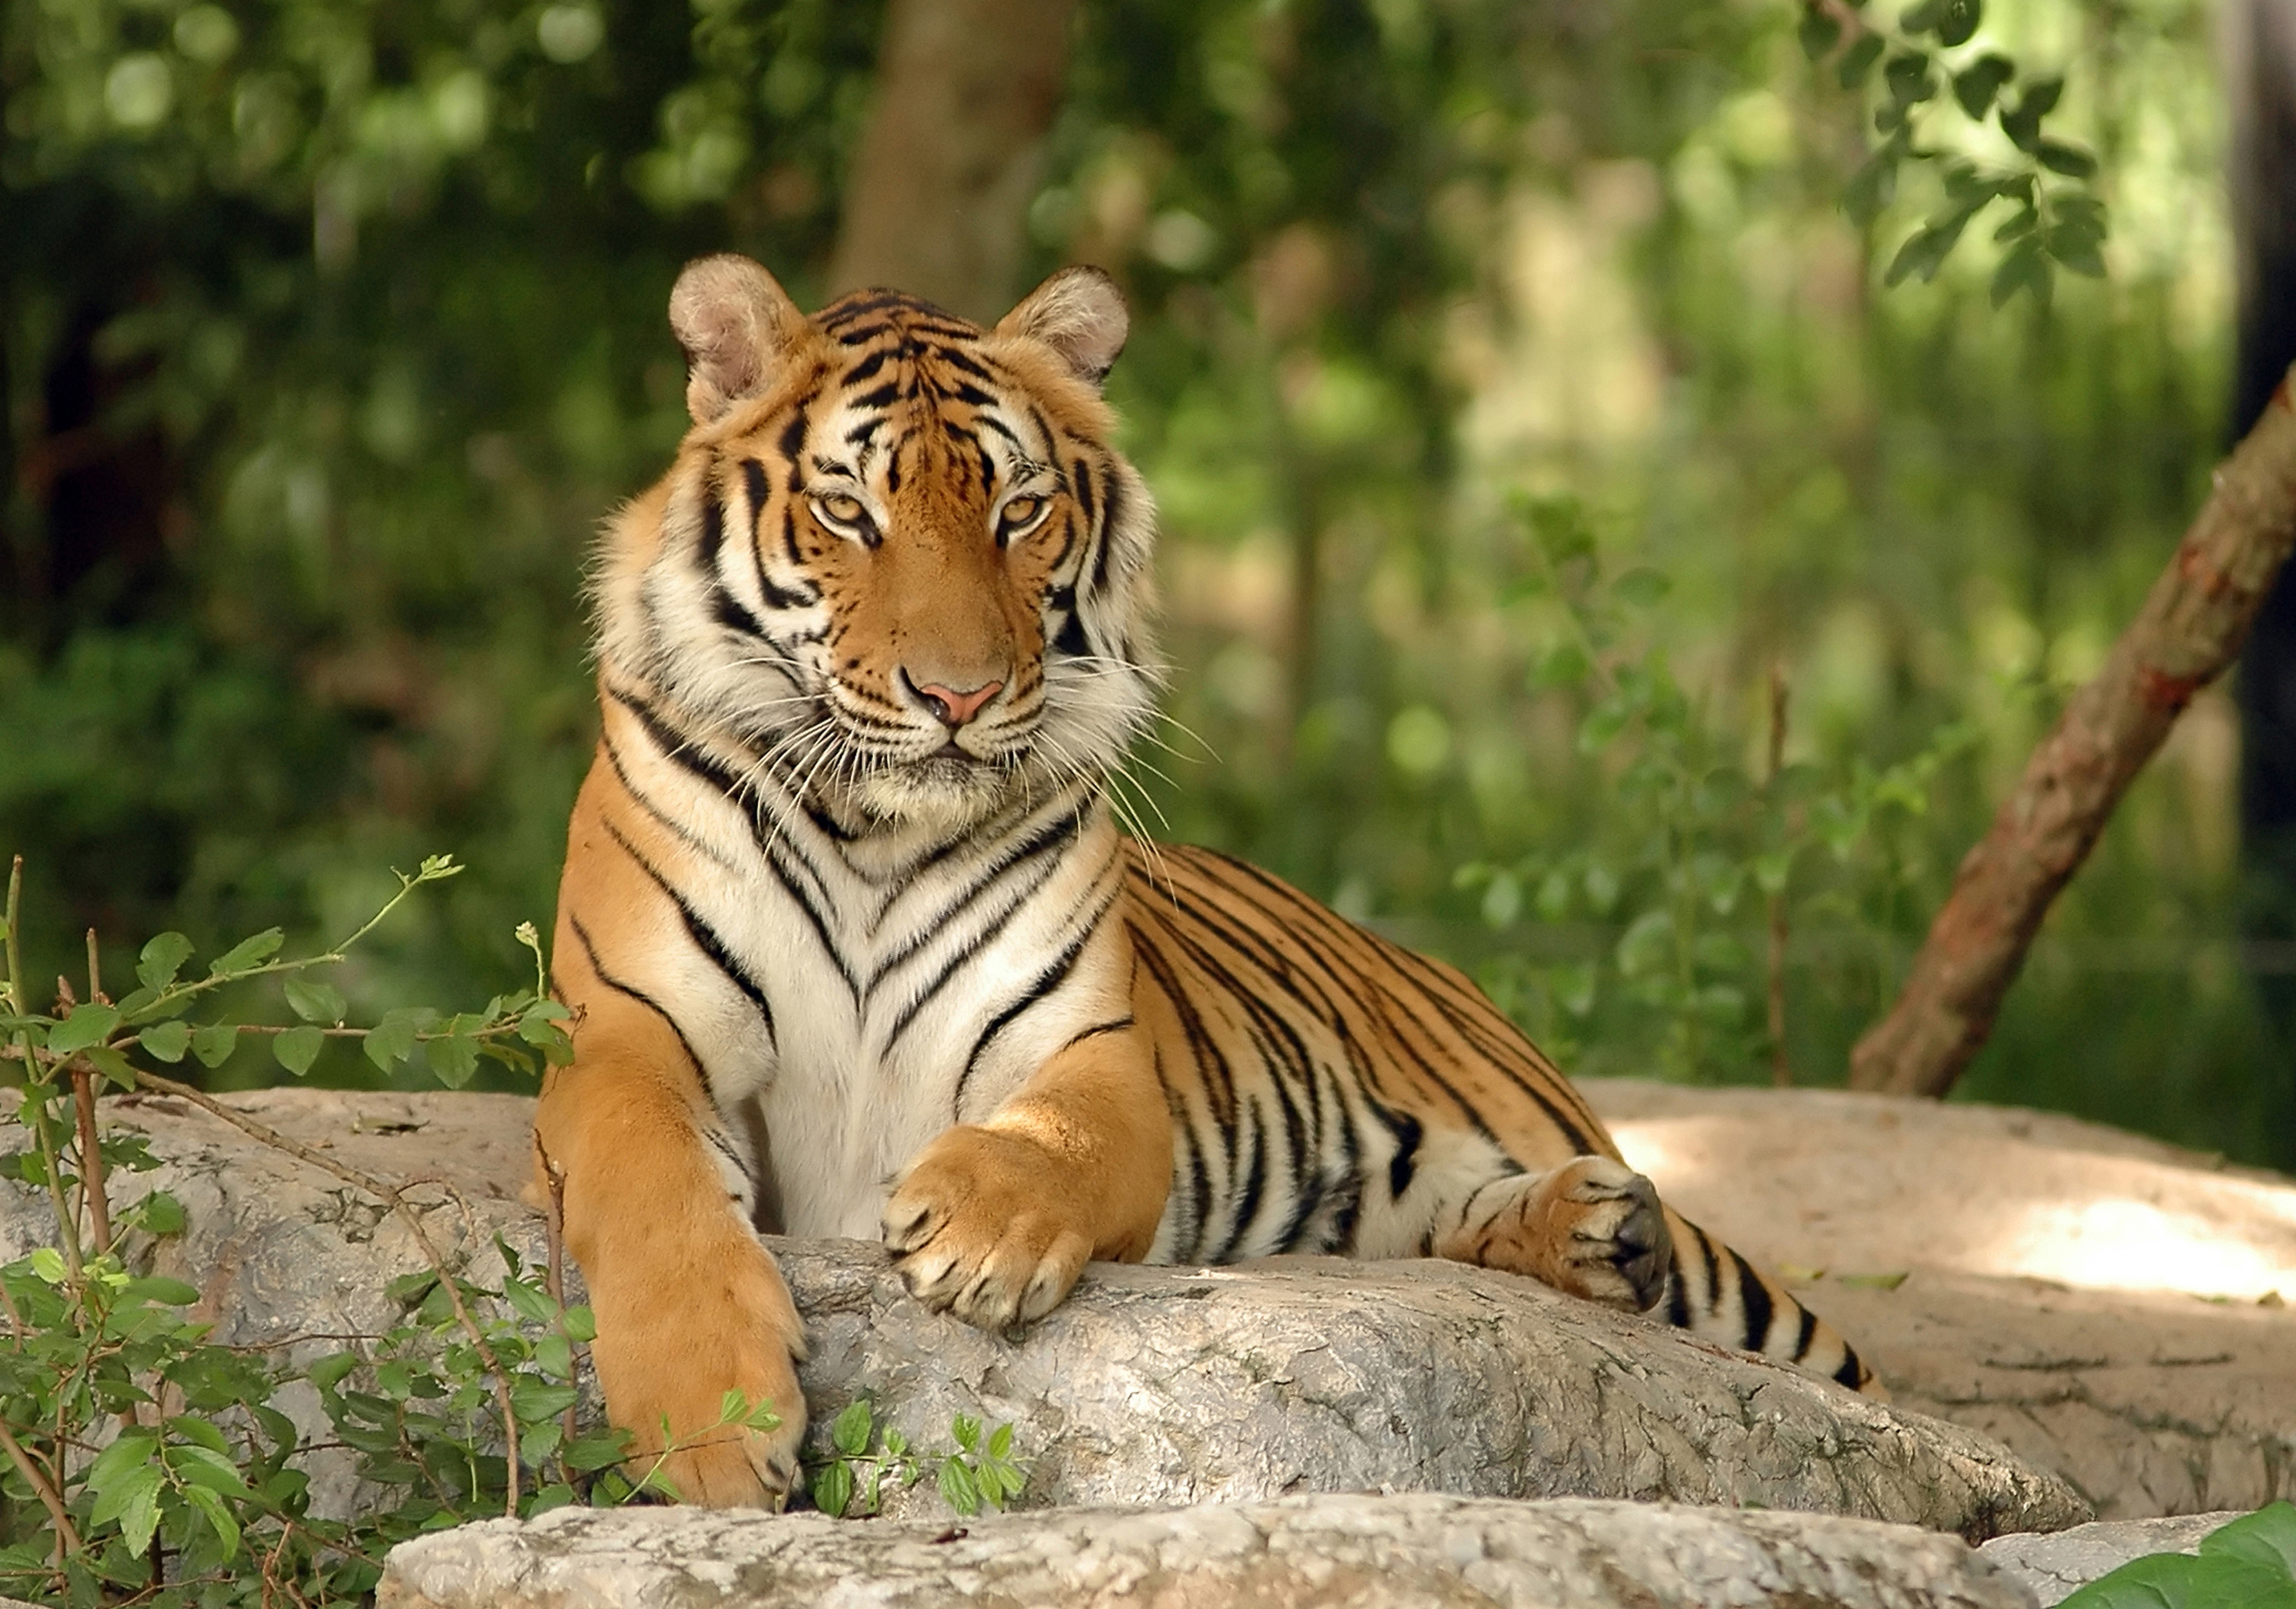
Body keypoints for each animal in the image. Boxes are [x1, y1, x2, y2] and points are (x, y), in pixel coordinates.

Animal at [537, 248, 1882, 1505]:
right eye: (847, 511)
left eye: (1018, 513)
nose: (959, 696)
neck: (876, 833)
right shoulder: (622, 1037)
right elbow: (653, 1191)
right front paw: (708, 1434)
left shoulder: (1088, 1052)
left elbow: (1064, 1139)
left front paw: (976, 1227)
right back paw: (1602, 1237)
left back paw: (1614, 1229)